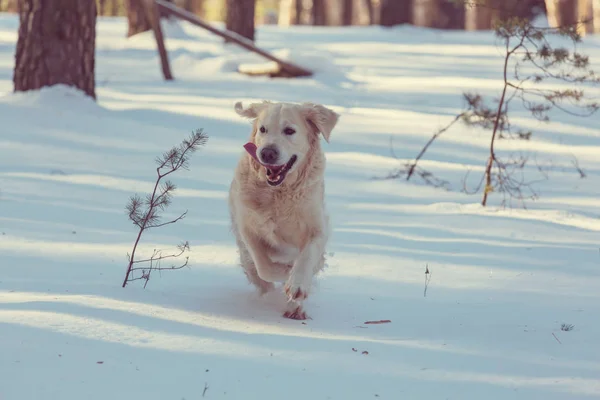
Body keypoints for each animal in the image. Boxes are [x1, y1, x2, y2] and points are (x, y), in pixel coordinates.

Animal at [229, 101, 340, 322]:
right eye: (263, 129)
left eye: (289, 131)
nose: (267, 153)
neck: (278, 193)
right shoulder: (248, 229)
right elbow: (264, 267)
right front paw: (283, 272)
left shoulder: (317, 228)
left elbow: (307, 257)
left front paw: (297, 285)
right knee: (255, 271)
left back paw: (295, 308)